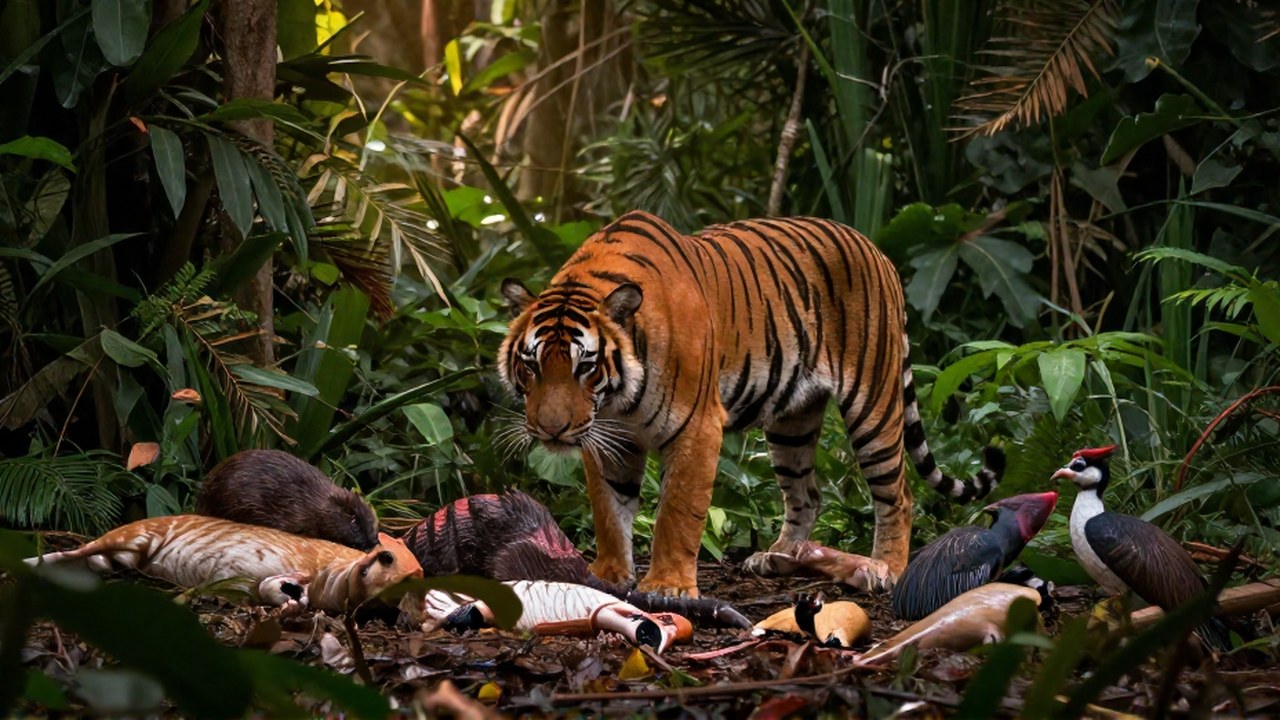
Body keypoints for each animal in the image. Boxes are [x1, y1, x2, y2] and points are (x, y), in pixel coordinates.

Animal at [498, 210, 1003, 597]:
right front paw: (608, 576)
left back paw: (885, 571)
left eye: (585, 365)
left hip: (874, 405)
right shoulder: (610, 437)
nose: (553, 430)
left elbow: (676, 514)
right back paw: (780, 557)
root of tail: (877, 250)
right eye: (532, 364)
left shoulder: (697, 427)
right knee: (807, 495)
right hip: (792, 422)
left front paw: (668, 585)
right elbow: (608, 511)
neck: (616, 400)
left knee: (898, 494)